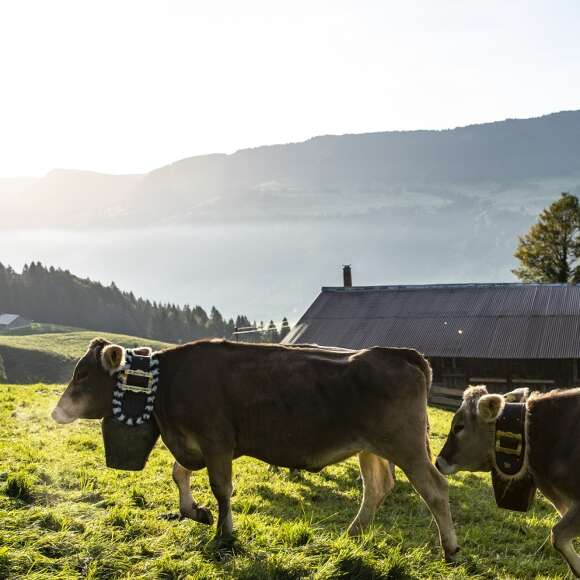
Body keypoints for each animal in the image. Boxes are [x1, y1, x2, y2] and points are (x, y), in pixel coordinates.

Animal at [52, 338, 460, 560]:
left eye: (83, 375)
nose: (56, 411)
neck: (167, 384)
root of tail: (401, 354)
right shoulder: (196, 443)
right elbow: (178, 472)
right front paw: (195, 512)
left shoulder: (216, 441)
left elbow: (221, 489)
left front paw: (224, 534)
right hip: (369, 447)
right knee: (377, 487)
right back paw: (354, 533)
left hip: (406, 446)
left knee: (435, 489)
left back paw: (451, 550)